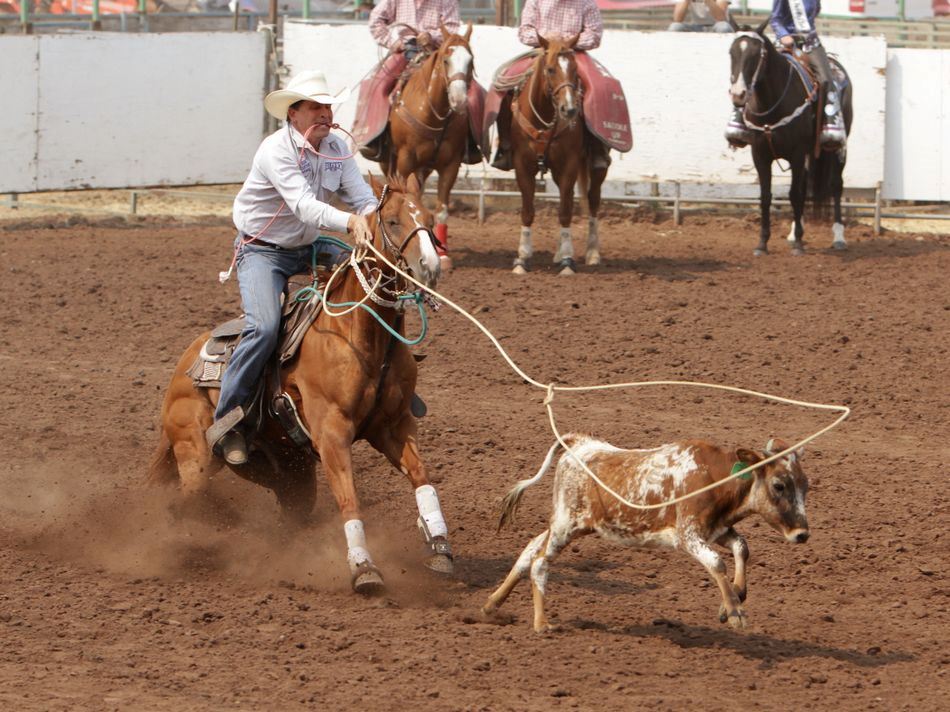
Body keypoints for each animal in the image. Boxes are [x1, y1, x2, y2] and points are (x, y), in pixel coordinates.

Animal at [148, 175, 451, 595]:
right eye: (392, 221)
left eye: (429, 219)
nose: (430, 267)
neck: (360, 337)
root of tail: (183, 366)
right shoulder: (332, 433)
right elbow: (349, 499)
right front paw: (363, 567)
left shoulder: (394, 425)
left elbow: (422, 478)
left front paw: (439, 546)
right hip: (196, 455)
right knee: (188, 503)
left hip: (288, 473)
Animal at [386, 24, 484, 266]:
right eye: (446, 60)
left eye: (470, 60)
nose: (459, 100)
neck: (432, 114)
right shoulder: (405, 161)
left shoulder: (450, 165)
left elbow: (441, 210)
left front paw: (443, 254)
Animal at [482, 434, 810, 633]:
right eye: (779, 485)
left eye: (806, 485)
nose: (802, 534)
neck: (713, 477)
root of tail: (579, 443)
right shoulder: (688, 536)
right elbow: (717, 562)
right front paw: (735, 613)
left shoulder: (715, 529)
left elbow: (742, 546)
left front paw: (736, 596)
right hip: (566, 525)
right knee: (540, 561)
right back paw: (541, 623)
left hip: (566, 524)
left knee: (530, 549)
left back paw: (492, 605)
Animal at [509, 35, 607, 276]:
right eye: (551, 69)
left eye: (575, 70)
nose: (569, 110)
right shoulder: (522, 166)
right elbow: (528, 211)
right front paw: (522, 258)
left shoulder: (569, 165)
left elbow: (565, 212)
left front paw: (568, 261)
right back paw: (557, 252)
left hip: (595, 169)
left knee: (592, 201)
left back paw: (592, 252)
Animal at [729, 22, 853, 256]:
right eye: (732, 52)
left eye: (757, 55)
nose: (738, 95)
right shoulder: (760, 155)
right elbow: (766, 196)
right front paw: (763, 244)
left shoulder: (796, 153)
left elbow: (794, 194)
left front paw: (798, 246)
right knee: (804, 187)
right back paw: (795, 231)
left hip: (837, 147)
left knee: (835, 184)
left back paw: (839, 237)